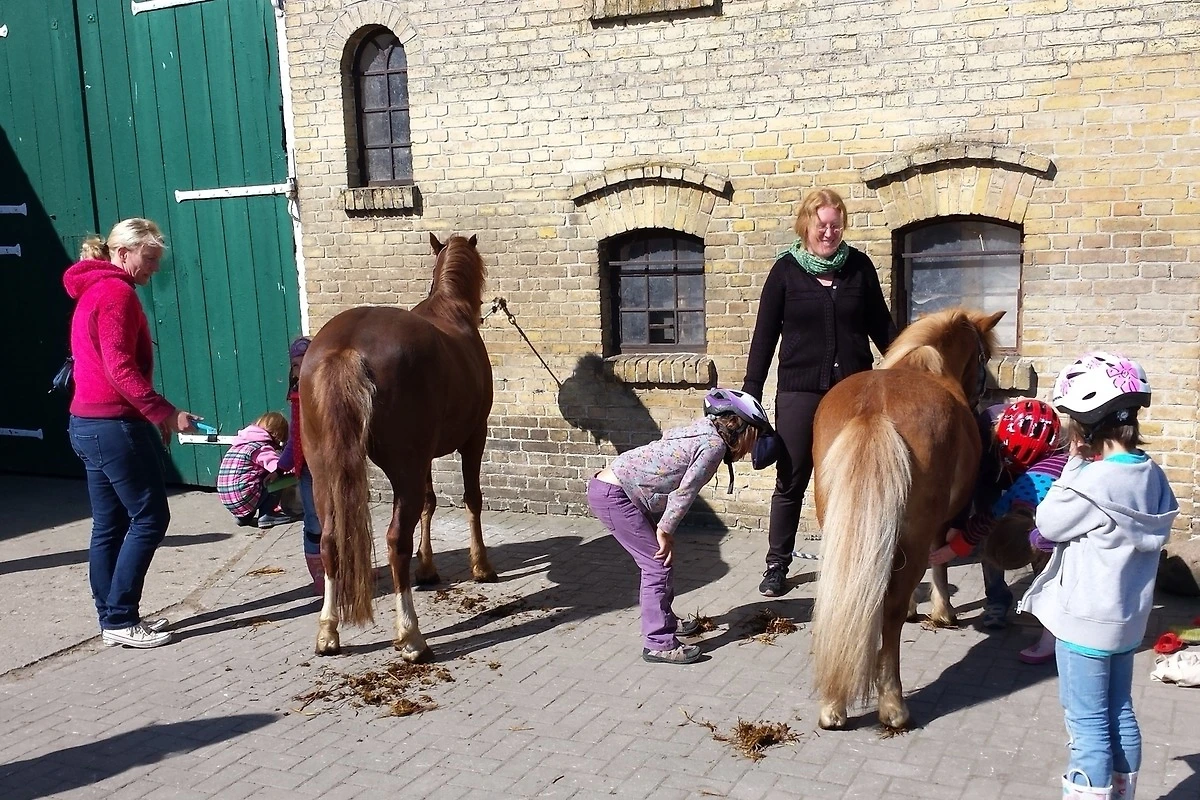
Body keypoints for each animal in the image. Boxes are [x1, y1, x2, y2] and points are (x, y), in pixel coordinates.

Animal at [301, 232, 495, 662]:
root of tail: (345, 348)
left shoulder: (427, 456)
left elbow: (429, 503)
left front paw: (428, 568)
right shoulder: (474, 438)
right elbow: (472, 499)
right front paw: (481, 566)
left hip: (323, 470)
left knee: (328, 540)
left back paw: (328, 632)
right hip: (404, 467)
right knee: (394, 541)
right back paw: (411, 636)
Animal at [809, 307, 1004, 730]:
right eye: (982, 357)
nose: (981, 397)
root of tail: (873, 410)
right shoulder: (940, 521)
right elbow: (939, 561)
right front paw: (943, 611)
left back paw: (833, 705)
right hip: (914, 531)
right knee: (891, 609)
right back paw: (893, 705)